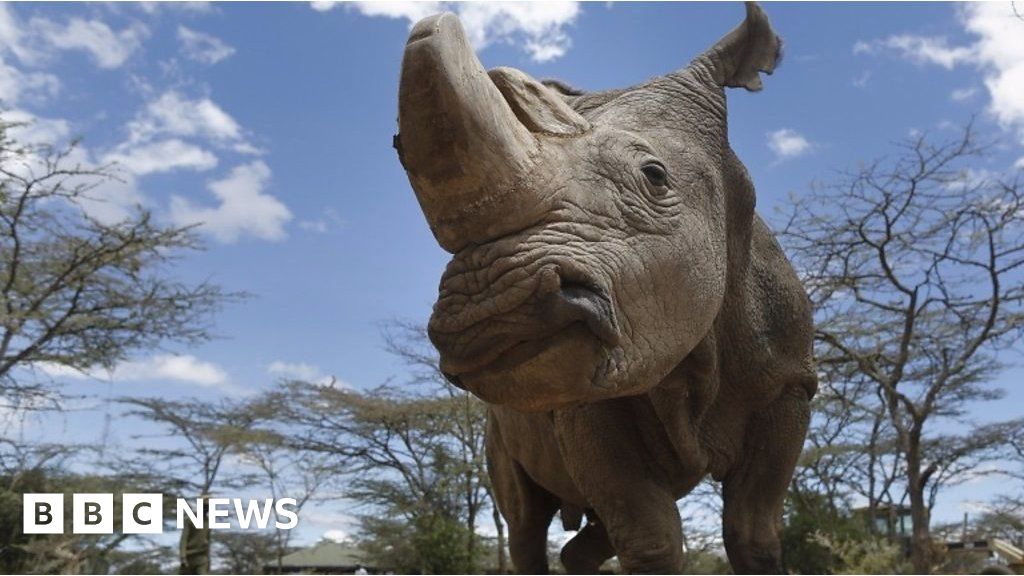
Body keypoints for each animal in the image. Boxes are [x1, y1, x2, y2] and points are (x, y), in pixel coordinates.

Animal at [391, 3, 815, 569]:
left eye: (655, 176)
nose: (491, 315)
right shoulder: (582, 397)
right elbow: (651, 535)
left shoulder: (790, 384)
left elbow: (754, 531)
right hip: (498, 426)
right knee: (526, 519)